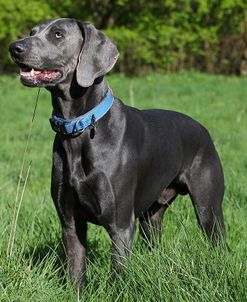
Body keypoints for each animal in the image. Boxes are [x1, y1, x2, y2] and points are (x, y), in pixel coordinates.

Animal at [9, 17, 226, 286]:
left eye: (58, 35)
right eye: (32, 32)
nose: (14, 47)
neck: (79, 128)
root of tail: (203, 129)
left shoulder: (121, 225)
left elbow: (118, 274)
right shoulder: (70, 222)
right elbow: (76, 271)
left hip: (209, 208)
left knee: (218, 241)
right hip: (151, 217)